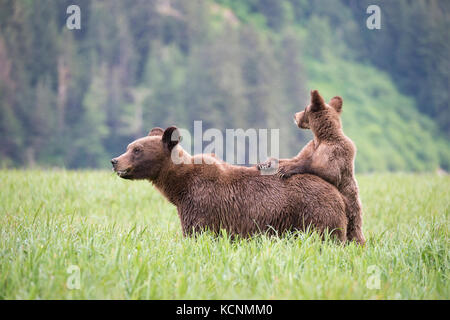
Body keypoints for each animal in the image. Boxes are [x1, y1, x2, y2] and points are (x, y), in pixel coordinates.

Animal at [111, 126, 348, 241]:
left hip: (313, 213)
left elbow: (197, 233)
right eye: (129, 146)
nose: (115, 161)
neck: (179, 186)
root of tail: (335, 192)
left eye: (137, 150)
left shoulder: (201, 203)